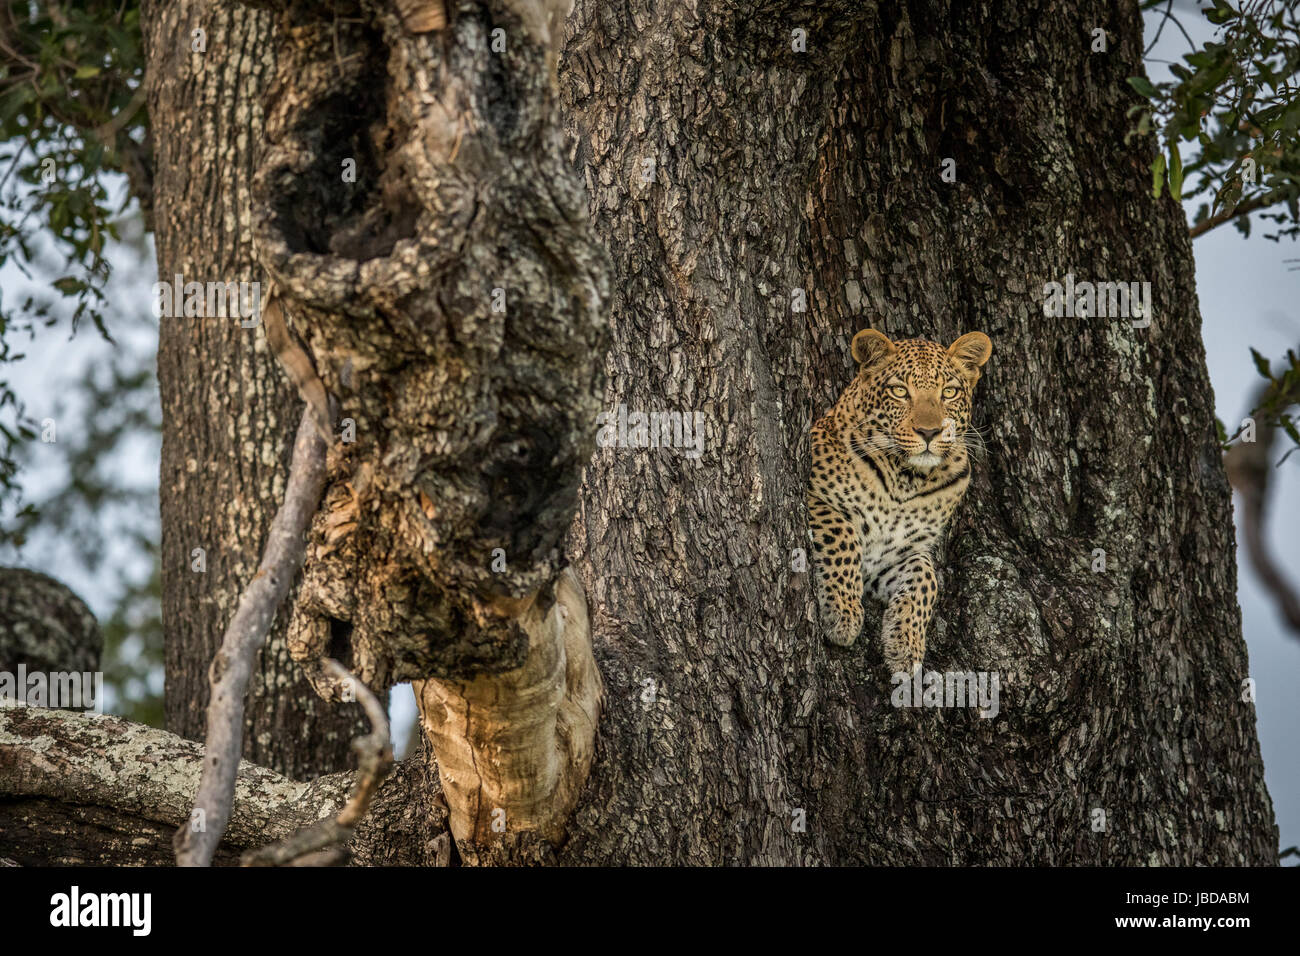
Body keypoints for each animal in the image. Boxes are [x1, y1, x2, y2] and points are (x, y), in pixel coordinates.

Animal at [807, 327, 992, 676]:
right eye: (899, 391)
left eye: (949, 392)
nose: (930, 432)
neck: (907, 480)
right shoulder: (817, 497)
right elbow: (844, 537)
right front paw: (843, 615)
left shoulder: (900, 553)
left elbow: (927, 580)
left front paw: (905, 646)